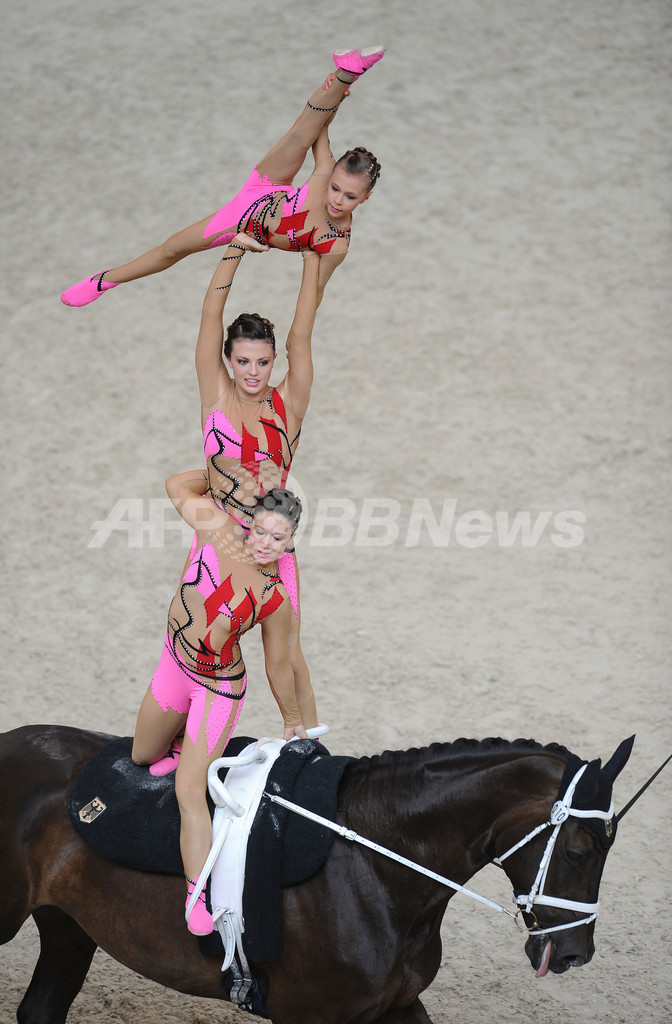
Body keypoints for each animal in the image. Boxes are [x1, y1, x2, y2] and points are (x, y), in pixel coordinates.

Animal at [0, 724, 635, 1024]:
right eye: (578, 851)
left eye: (608, 848)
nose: (575, 953)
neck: (378, 872)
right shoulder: (307, 1014)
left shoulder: (394, 1007)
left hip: (69, 927)